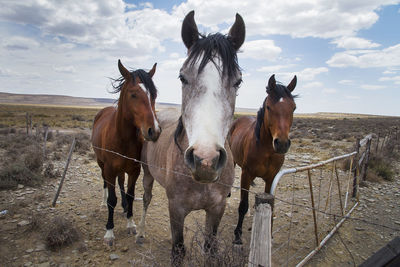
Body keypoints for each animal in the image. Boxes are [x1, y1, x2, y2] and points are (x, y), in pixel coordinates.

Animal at [92, 59, 161, 246]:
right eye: (133, 95)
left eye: (154, 94)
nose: (154, 131)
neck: (122, 138)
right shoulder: (109, 169)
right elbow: (112, 200)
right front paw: (109, 232)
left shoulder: (134, 170)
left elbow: (130, 195)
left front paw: (130, 223)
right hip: (101, 164)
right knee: (104, 183)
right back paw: (102, 203)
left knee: (121, 183)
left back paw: (123, 208)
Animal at [137, 10, 244, 266]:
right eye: (182, 78)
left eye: (238, 81)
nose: (205, 160)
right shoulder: (176, 208)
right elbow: (178, 249)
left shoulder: (217, 209)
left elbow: (210, 247)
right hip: (147, 174)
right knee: (145, 199)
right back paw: (139, 232)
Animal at [228, 74, 296, 246]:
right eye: (269, 107)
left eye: (294, 108)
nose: (282, 143)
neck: (266, 150)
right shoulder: (246, 175)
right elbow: (243, 205)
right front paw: (237, 235)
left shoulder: (271, 178)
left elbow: (270, 205)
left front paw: (269, 235)